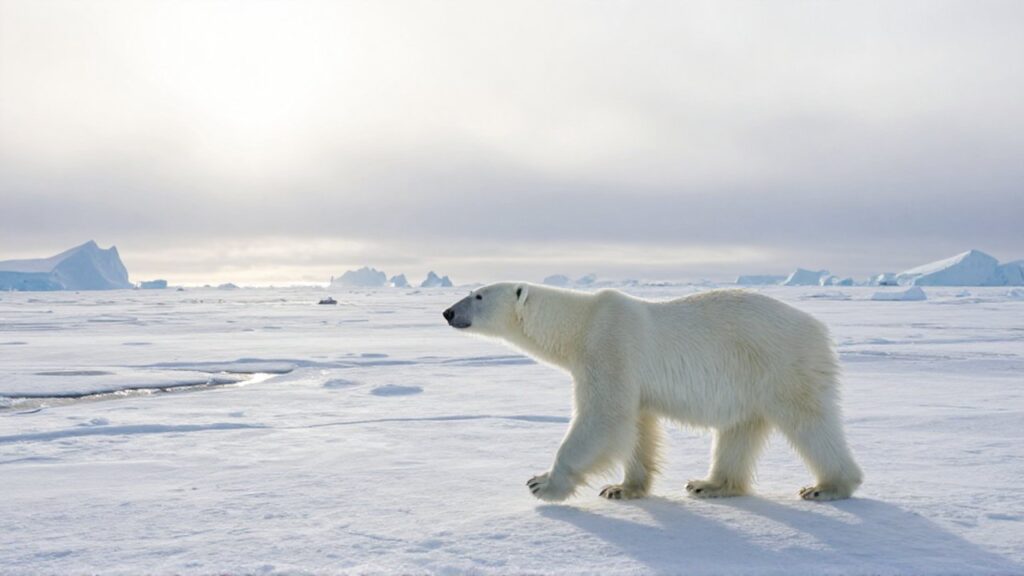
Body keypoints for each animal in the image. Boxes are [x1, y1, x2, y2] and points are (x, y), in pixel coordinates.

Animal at [443, 282, 862, 502]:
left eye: (478, 295)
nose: (448, 312)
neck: (581, 324)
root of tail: (819, 328)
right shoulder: (626, 374)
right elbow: (637, 426)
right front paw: (621, 488)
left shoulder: (609, 348)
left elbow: (603, 417)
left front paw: (543, 483)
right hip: (749, 381)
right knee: (739, 430)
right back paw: (708, 484)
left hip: (782, 363)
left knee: (810, 422)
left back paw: (827, 487)